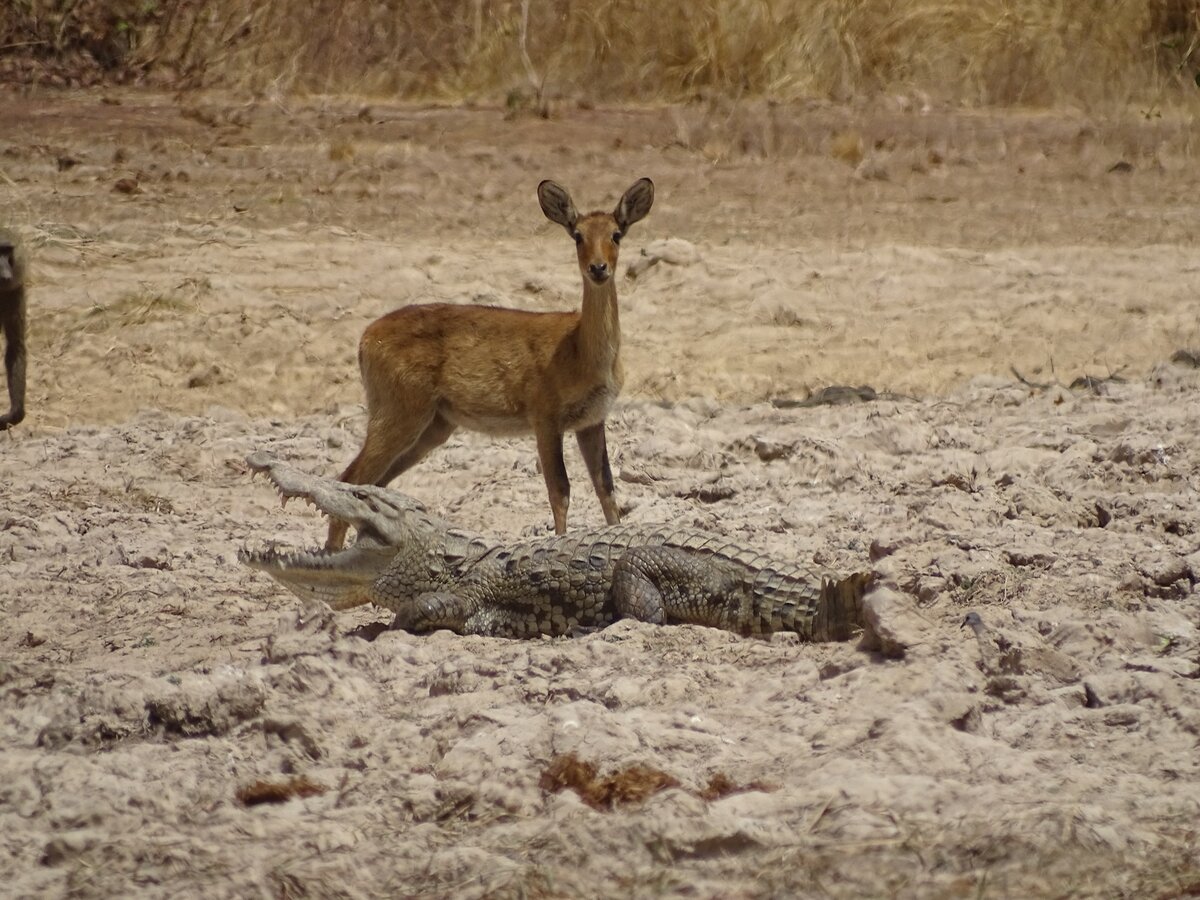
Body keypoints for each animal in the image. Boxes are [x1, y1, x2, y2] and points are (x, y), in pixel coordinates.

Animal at [326, 172, 657, 547]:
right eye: (577, 235)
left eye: (616, 233)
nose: (598, 268)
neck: (579, 351)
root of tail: (366, 338)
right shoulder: (545, 417)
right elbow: (559, 491)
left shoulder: (592, 420)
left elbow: (606, 488)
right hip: (397, 413)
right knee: (350, 479)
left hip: (433, 425)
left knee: (373, 486)